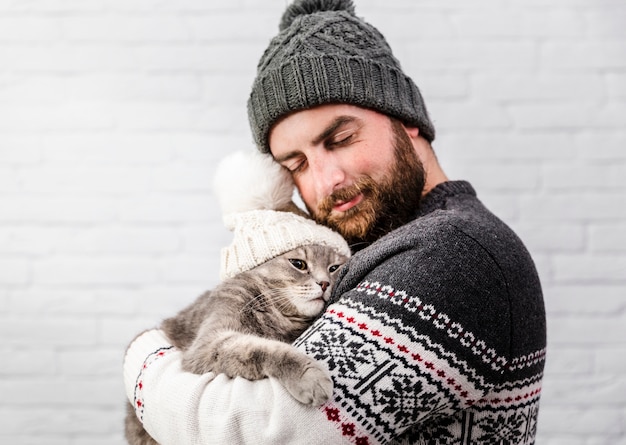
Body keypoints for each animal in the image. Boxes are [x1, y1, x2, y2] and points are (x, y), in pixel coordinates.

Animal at [121, 243, 346, 444]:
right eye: (298, 264)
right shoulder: (208, 344)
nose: (324, 283)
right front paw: (310, 377)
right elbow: (264, 349)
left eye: (334, 268)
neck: (282, 318)